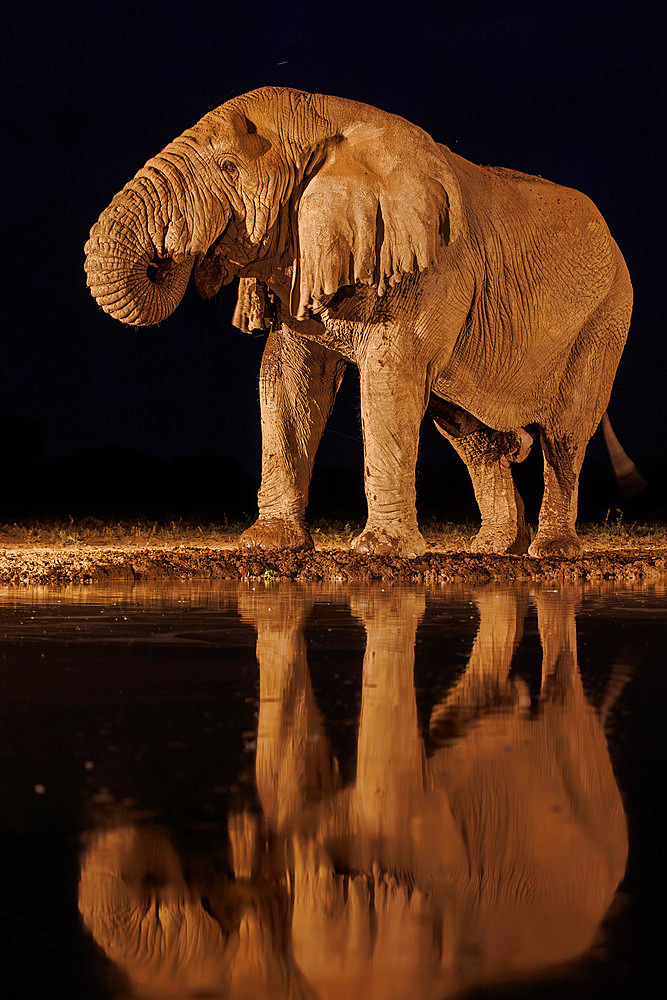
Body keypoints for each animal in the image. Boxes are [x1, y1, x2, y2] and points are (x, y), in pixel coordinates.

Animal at [86, 89, 636, 560]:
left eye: (228, 167)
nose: (170, 257)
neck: (329, 123)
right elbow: (289, 376)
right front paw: (266, 546)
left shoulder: (431, 262)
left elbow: (389, 375)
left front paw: (379, 552)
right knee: (472, 436)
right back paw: (493, 550)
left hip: (606, 317)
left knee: (564, 435)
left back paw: (552, 551)